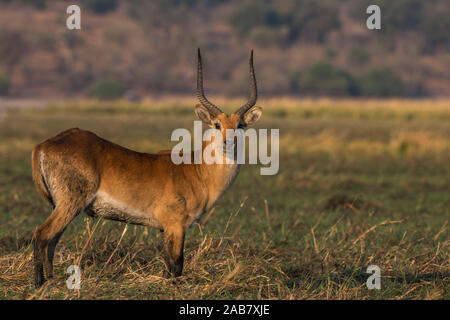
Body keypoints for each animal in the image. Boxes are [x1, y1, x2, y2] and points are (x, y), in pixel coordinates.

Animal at [31, 49, 262, 288]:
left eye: (241, 125)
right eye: (217, 124)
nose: (230, 141)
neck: (198, 170)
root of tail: (44, 145)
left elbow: (170, 264)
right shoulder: (175, 225)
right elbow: (176, 265)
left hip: (63, 206)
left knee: (51, 241)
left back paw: (51, 281)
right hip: (70, 204)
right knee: (41, 234)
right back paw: (40, 284)